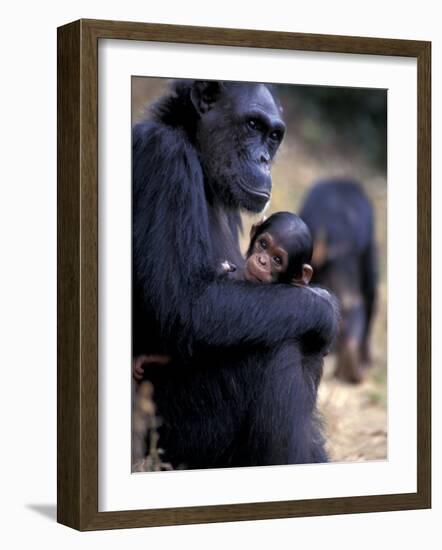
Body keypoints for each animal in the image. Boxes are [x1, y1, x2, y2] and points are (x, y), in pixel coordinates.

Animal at [133, 80, 336, 472]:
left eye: (273, 136)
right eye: (252, 125)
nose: (263, 159)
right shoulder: (164, 158)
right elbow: (186, 306)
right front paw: (326, 306)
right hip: (172, 440)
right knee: (279, 345)